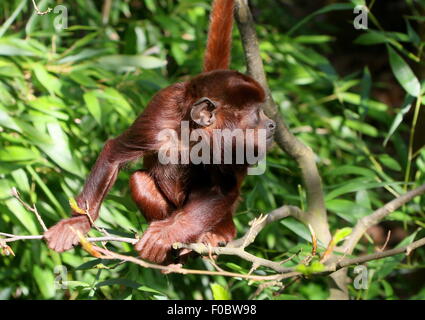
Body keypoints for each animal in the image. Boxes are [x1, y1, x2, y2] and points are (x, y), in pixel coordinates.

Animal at [44, 0, 274, 264]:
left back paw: (213, 234)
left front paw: (168, 232)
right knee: (139, 180)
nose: (271, 124)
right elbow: (115, 153)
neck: (191, 132)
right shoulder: (160, 113)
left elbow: (222, 189)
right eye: (257, 113)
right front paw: (77, 222)